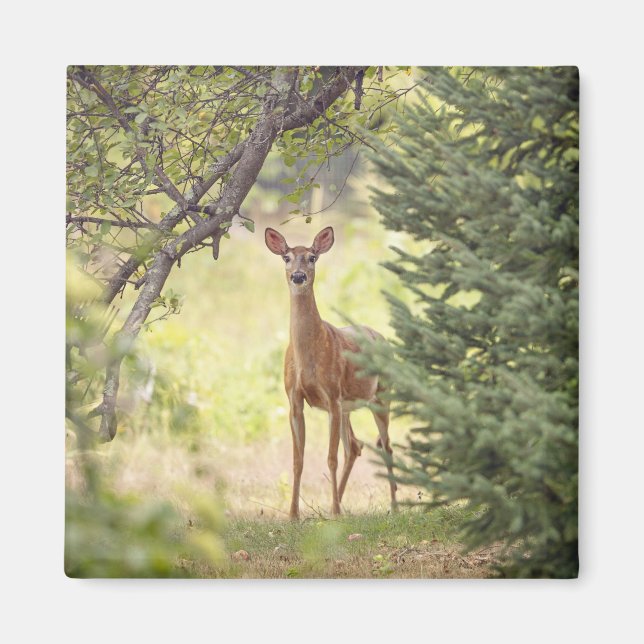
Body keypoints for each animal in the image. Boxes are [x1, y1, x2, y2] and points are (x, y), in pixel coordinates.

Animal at [265, 226, 397, 520]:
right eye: (286, 257)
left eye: (312, 257)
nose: (298, 276)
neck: (309, 356)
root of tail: (382, 338)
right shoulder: (294, 399)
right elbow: (298, 459)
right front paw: (293, 514)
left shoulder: (332, 395)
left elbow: (330, 458)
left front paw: (334, 512)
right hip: (348, 406)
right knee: (355, 446)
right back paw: (338, 503)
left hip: (381, 396)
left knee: (386, 446)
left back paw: (393, 506)